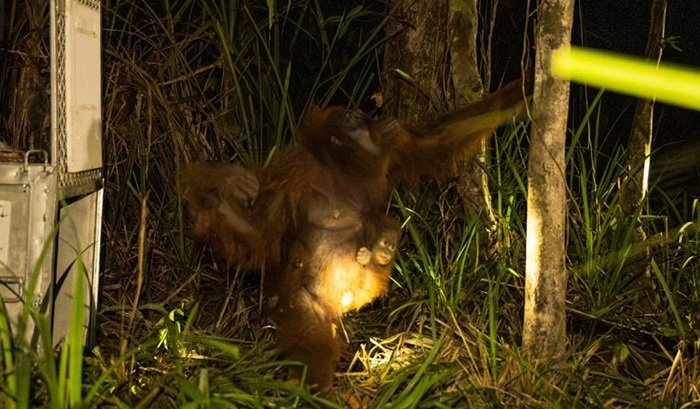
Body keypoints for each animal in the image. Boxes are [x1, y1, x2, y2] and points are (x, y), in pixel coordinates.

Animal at [181, 78, 529, 389]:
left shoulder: (391, 151)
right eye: (354, 121)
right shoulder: (296, 175)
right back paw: (313, 391)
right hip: (303, 303)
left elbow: (439, 138)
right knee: (315, 347)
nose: (371, 117)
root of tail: (340, 306)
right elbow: (257, 229)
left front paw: (521, 90)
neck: (340, 171)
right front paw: (215, 182)